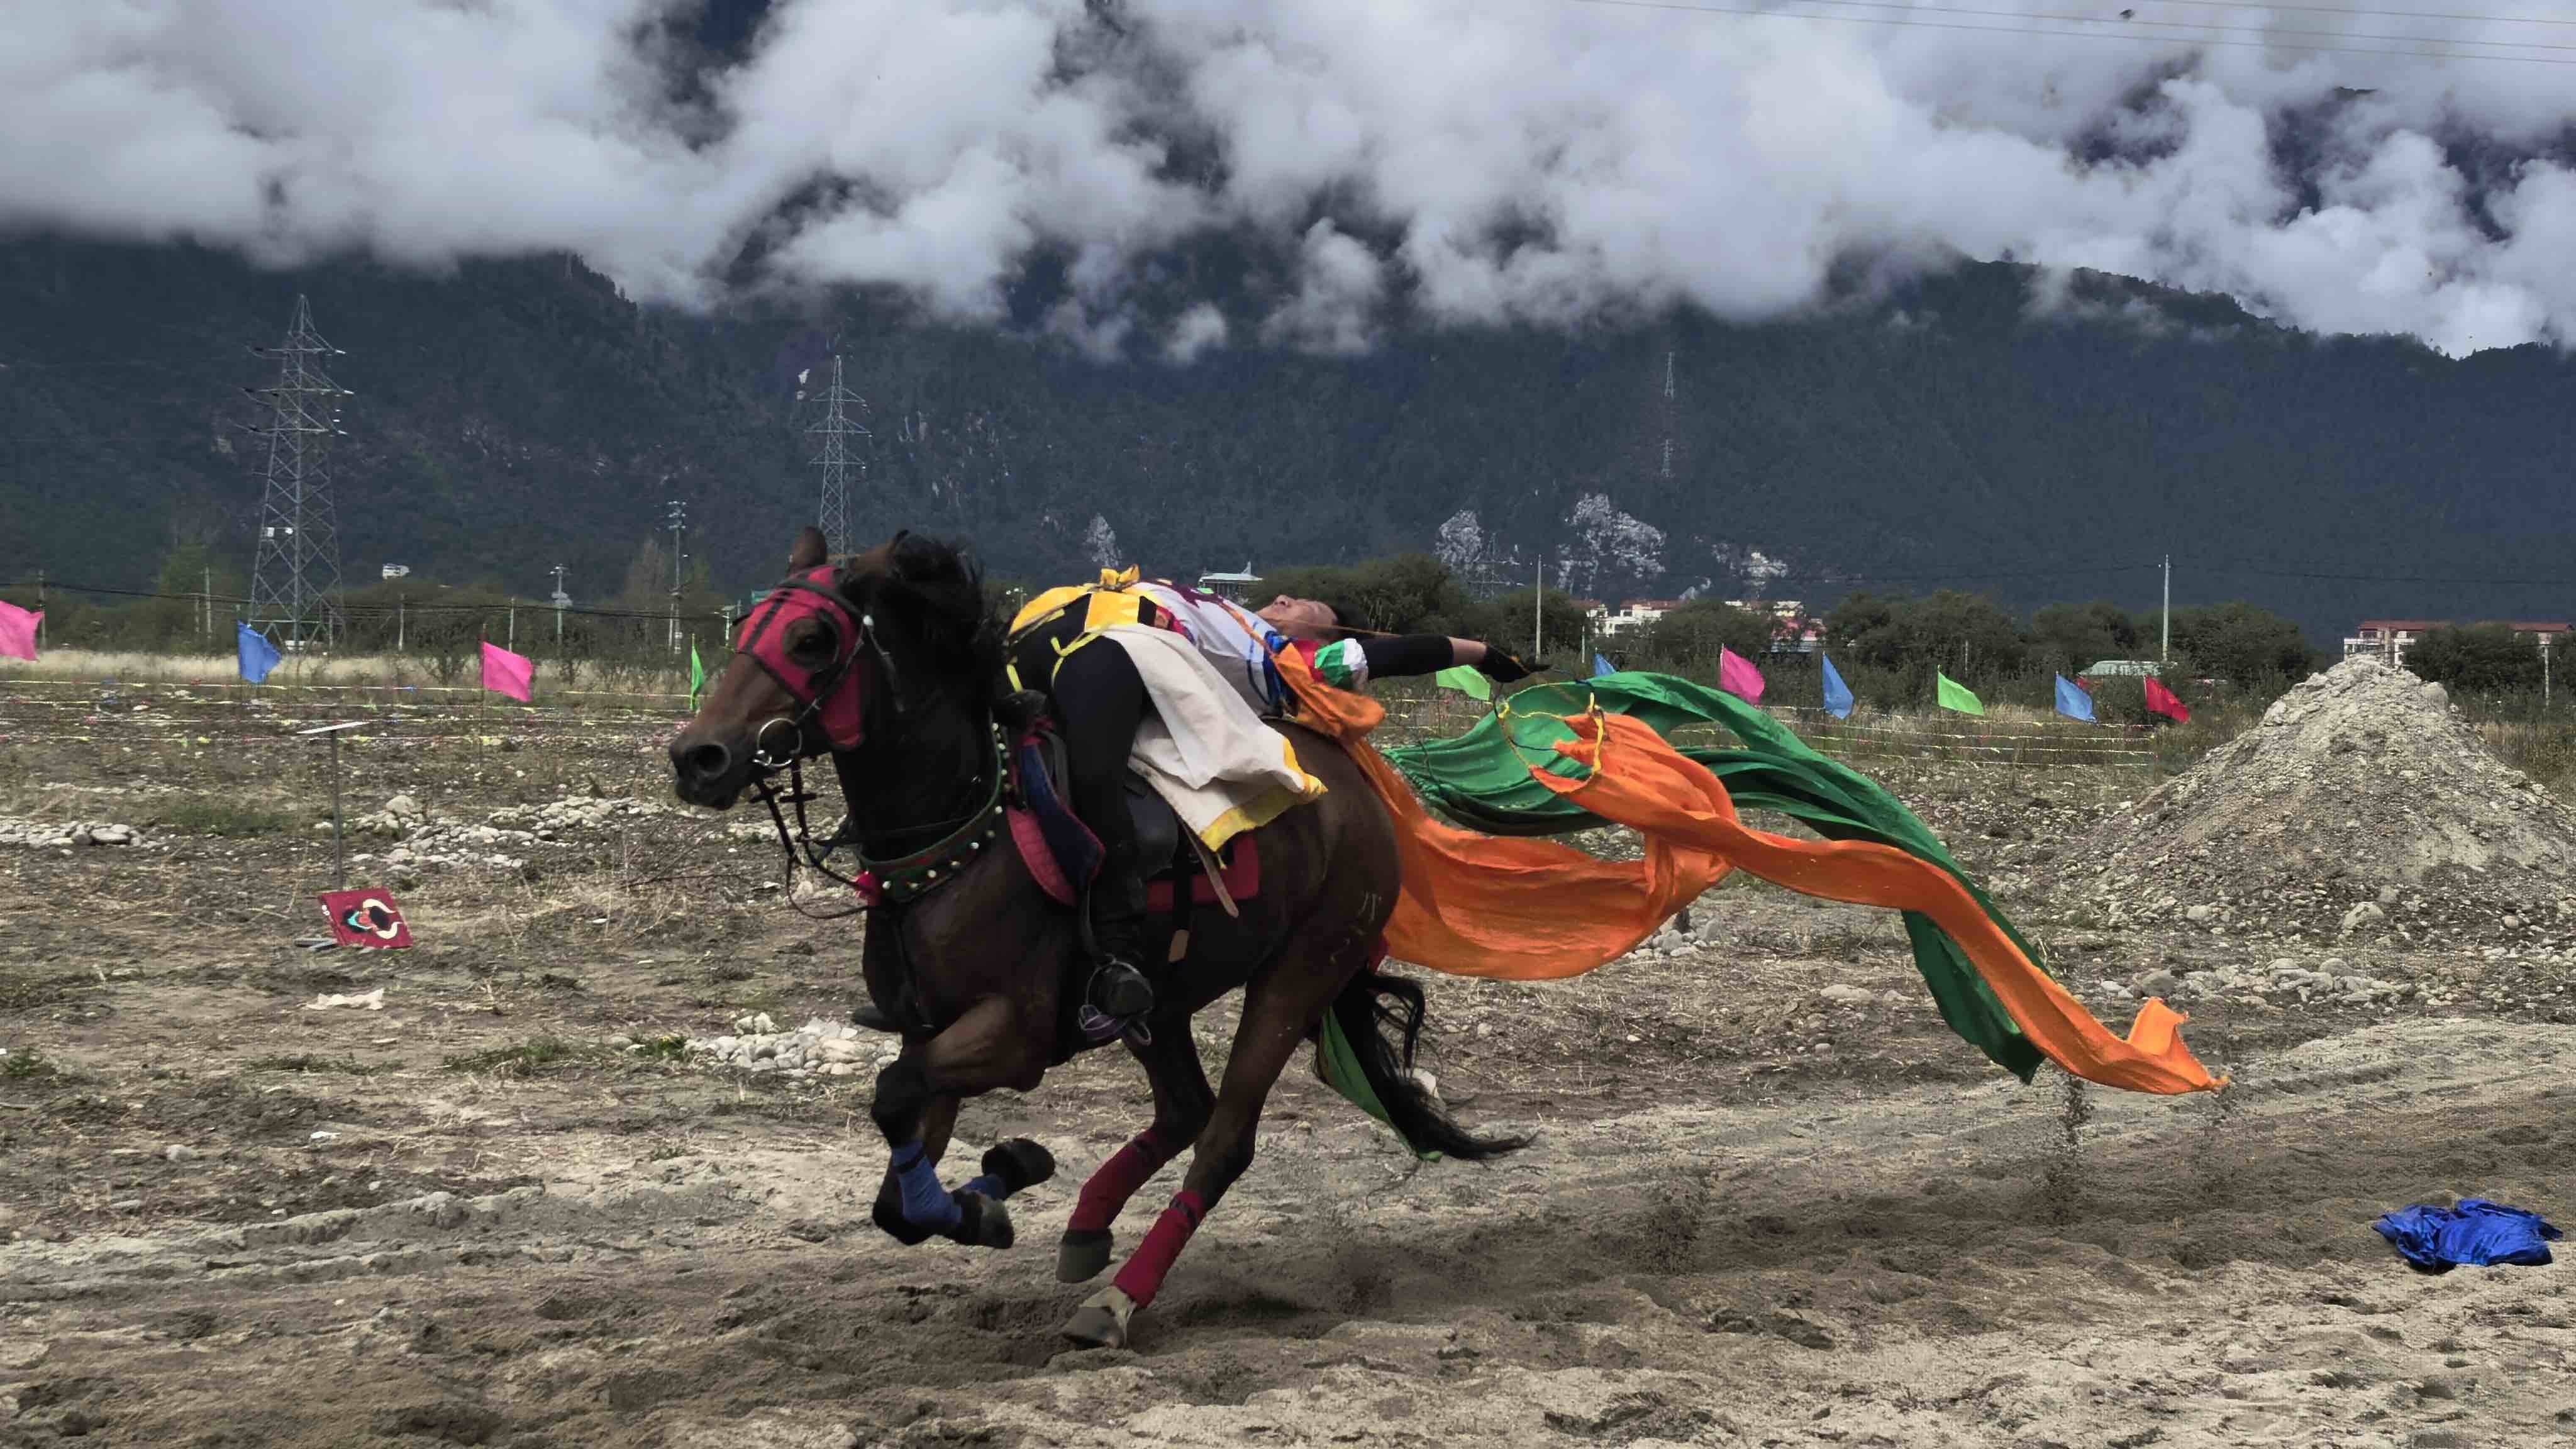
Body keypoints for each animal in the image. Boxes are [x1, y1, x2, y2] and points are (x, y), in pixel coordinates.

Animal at [667, 527, 1519, 1347]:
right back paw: (1087, 1226)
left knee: (1224, 1139)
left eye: (811, 639)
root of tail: (1357, 792)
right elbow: (898, 1196)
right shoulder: (929, 1032)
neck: (965, 841)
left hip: (1301, 971)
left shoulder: (1015, 1035)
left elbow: (895, 1096)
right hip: (1162, 998)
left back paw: (1118, 1300)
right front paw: (988, 1196)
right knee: (1184, 1109)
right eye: (745, 627)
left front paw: (1005, 1175)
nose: (697, 756)